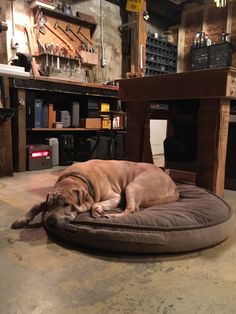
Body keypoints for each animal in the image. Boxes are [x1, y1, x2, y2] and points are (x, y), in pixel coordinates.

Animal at [10, 159, 178, 228]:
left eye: (67, 205)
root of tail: (173, 184)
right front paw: (23, 219)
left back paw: (113, 216)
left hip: (133, 185)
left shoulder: (115, 196)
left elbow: (96, 203)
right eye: (50, 205)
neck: (77, 178)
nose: (50, 221)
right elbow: (36, 205)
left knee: (132, 209)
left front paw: (97, 209)